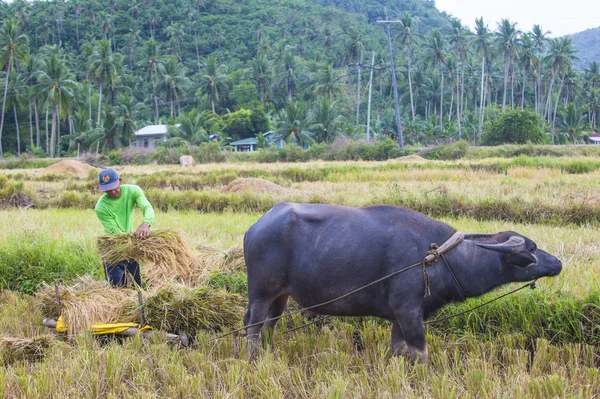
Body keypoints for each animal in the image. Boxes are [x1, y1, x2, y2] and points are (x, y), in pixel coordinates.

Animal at [241, 203, 560, 362]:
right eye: (532, 248)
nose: (557, 262)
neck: (437, 258)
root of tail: (255, 227)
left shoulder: (398, 317)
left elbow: (397, 350)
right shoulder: (409, 312)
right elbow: (420, 353)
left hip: (280, 296)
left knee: (269, 326)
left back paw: (268, 354)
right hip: (261, 293)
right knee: (253, 327)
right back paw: (254, 360)